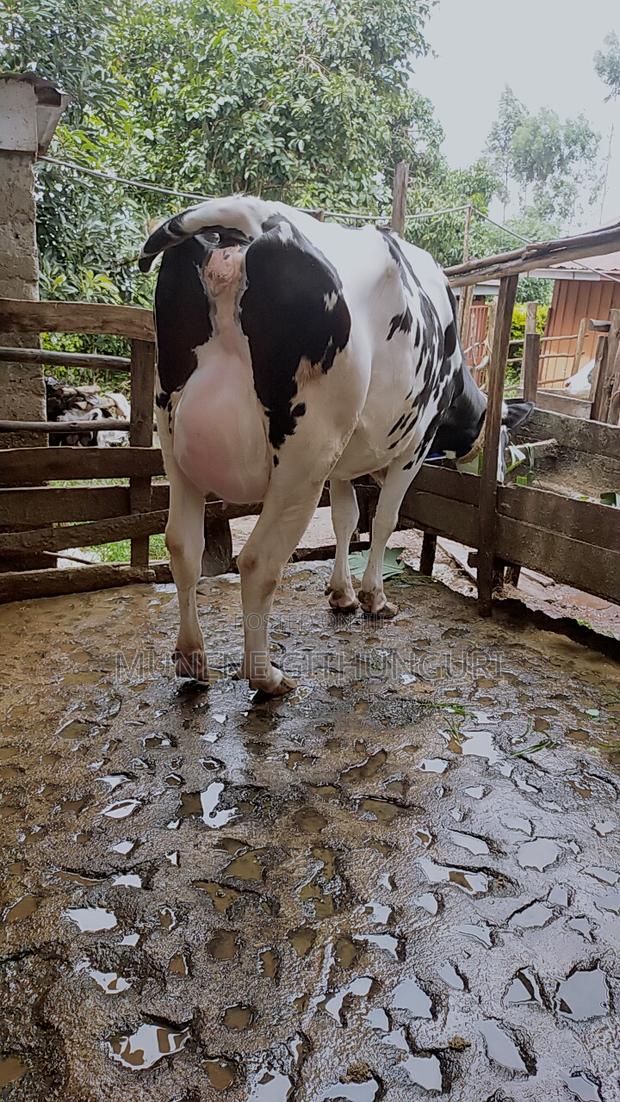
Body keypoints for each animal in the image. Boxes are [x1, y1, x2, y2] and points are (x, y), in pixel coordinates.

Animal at [139, 195, 532, 695]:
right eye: (505, 444)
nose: (500, 478)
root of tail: (252, 217)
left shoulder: (342, 463)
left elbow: (346, 519)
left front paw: (341, 594)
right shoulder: (414, 445)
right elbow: (383, 521)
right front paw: (373, 598)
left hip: (173, 436)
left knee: (182, 546)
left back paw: (192, 660)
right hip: (305, 452)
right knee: (258, 561)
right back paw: (266, 675)